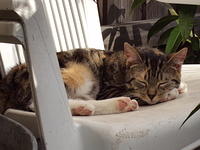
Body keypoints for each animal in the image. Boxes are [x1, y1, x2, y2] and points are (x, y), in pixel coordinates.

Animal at [0, 42, 188, 115]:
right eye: (141, 81)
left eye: (163, 81)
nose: (152, 94)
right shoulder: (107, 89)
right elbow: (137, 95)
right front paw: (170, 93)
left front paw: (178, 86)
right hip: (77, 72)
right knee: (35, 103)